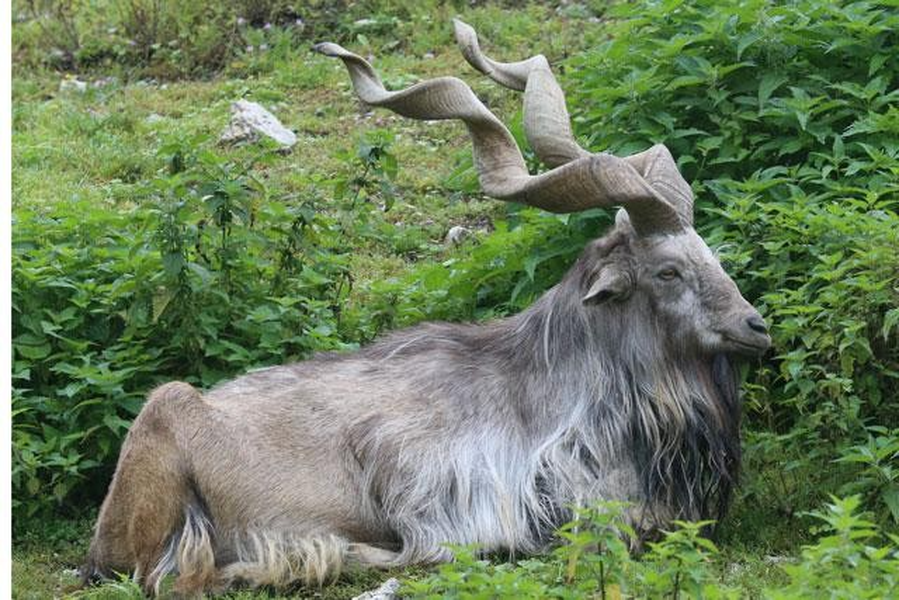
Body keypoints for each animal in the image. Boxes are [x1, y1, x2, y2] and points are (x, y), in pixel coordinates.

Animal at [86, 21, 772, 596]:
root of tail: (101, 535)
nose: (755, 327)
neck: (555, 387)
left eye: (708, 254)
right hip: (168, 423)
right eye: (667, 270)